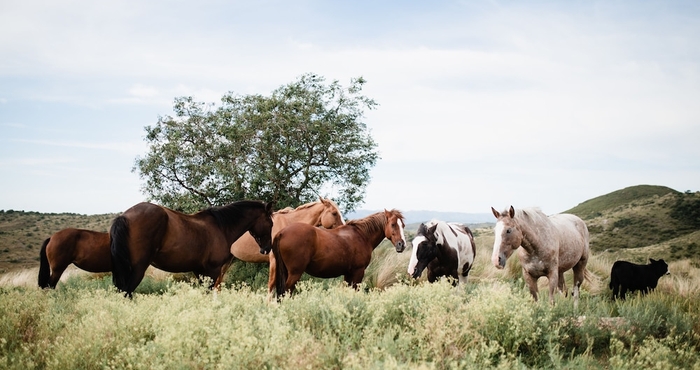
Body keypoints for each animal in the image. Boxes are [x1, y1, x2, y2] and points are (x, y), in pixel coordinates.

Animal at [111, 199, 274, 298]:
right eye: (270, 223)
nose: (266, 249)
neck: (221, 228)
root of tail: (124, 216)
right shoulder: (212, 271)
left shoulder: (200, 272)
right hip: (137, 269)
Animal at [270, 208, 408, 298]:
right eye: (393, 224)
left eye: (403, 225)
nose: (402, 245)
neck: (362, 235)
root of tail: (282, 233)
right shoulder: (358, 272)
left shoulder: (348, 274)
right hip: (295, 273)